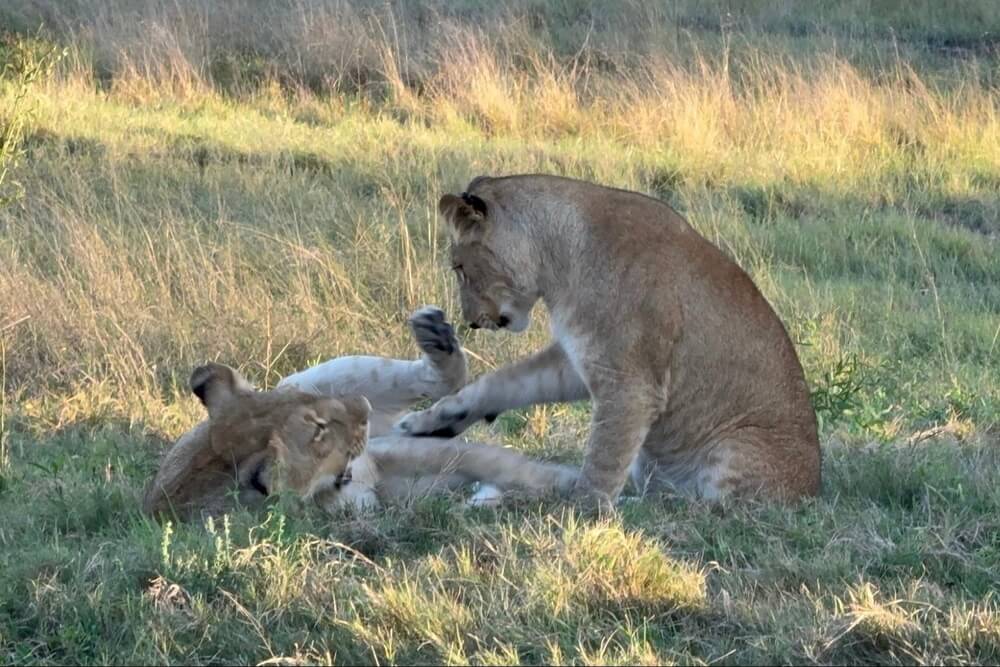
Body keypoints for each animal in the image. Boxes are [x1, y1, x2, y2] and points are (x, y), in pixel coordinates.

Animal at [143, 307, 577, 519]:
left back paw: (436, 335)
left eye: (304, 400)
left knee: (434, 381)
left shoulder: (386, 450)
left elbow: (503, 465)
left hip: (332, 372)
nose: (361, 406)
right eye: (318, 431)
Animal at [395, 174, 821, 504]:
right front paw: (432, 421)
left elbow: (603, 459)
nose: (470, 322)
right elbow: (502, 382)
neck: (556, 263)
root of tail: (813, 489)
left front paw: (578, 519)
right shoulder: (576, 358)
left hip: (738, 449)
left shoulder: (631, 384)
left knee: (705, 507)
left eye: (459, 267)